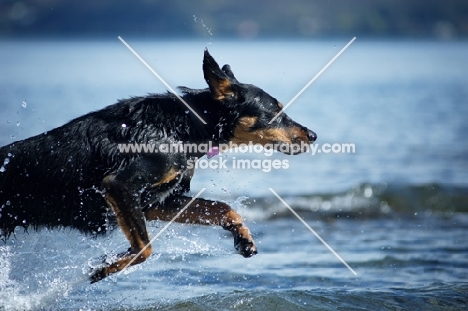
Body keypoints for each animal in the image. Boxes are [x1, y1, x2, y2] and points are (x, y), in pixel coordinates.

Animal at [0, 50, 316, 284]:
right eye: (275, 110)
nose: (312, 135)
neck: (182, 128)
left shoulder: (156, 201)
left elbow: (222, 208)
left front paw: (243, 237)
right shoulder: (120, 186)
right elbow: (144, 248)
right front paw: (103, 268)